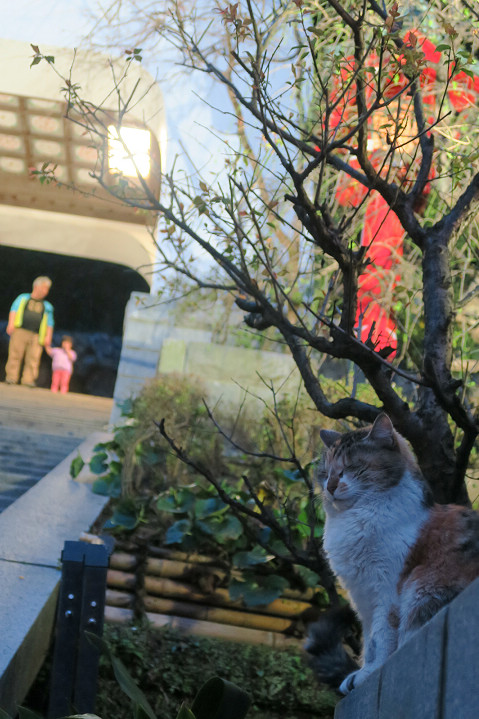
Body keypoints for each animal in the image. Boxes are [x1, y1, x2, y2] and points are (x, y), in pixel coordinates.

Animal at [314, 414, 479, 696]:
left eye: (351, 467)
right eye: (325, 473)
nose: (331, 486)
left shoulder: (387, 588)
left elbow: (381, 637)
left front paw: (369, 674)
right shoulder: (362, 597)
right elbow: (368, 641)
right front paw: (360, 673)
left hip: (423, 588)